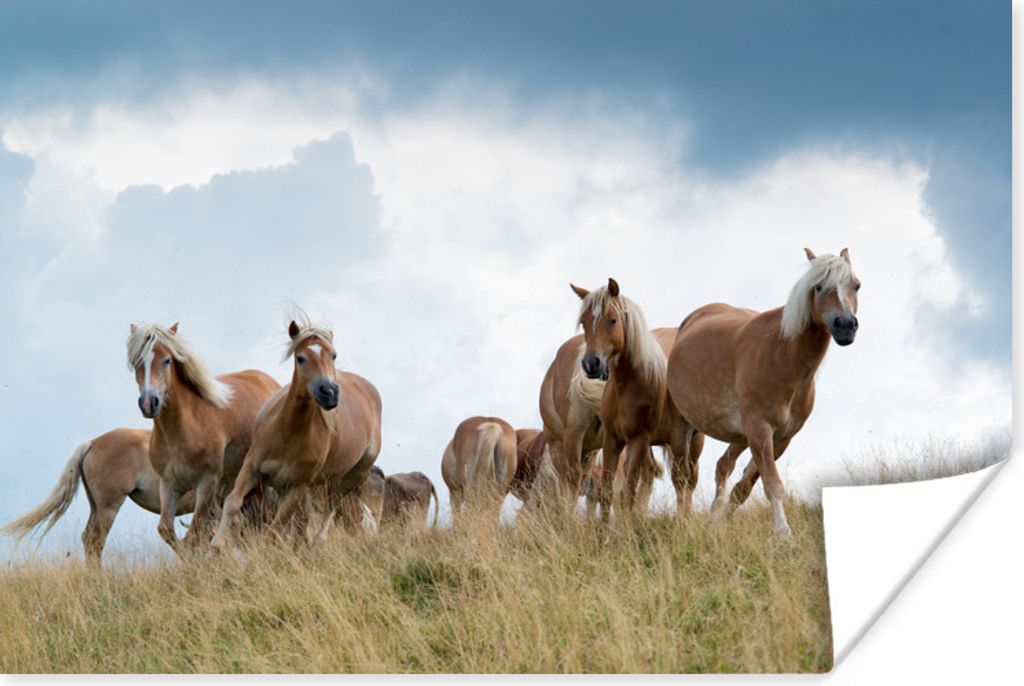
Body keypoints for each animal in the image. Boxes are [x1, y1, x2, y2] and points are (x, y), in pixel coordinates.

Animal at [126, 323, 279, 550]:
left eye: (167, 360)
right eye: (137, 361)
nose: (148, 403)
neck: (181, 431)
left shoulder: (207, 484)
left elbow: (194, 534)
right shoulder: (170, 485)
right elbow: (166, 530)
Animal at [212, 314, 382, 549]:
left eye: (333, 355)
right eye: (300, 358)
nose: (329, 392)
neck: (289, 433)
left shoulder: (298, 486)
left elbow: (276, 527)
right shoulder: (252, 468)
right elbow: (233, 503)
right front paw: (216, 545)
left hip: (354, 476)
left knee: (331, 505)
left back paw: (317, 543)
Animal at [572, 278, 705, 520]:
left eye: (612, 320)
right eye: (584, 323)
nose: (591, 364)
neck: (629, 385)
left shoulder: (637, 439)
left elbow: (628, 494)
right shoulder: (613, 439)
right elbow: (608, 493)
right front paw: (604, 530)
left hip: (690, 441)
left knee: (686, 481)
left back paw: (684, 519)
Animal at [667, 248, 861, 536]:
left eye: (856, 285)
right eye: (818, 287)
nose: (845, 325)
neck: (781, 357)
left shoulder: (781, 438)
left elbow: (745, 487)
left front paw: (720, 524)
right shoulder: (760, 429)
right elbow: (772, 484)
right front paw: (784, 533)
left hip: (740, 435)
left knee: (722, 466)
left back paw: (712, 520)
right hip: (684, 428)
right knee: (682, 479)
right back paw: (684, 526)